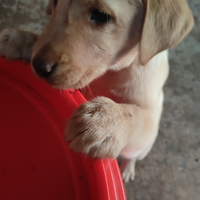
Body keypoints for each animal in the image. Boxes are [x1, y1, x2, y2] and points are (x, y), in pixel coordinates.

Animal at [0, 0, 194, 183]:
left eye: (101, 15)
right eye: (55, 2)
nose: (40, 67)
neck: (112, 72)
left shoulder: (152, 113)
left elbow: (136, 115)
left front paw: (105, 122)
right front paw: (23, 40)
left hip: (142, 148)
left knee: (133, 156)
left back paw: (127, 169)